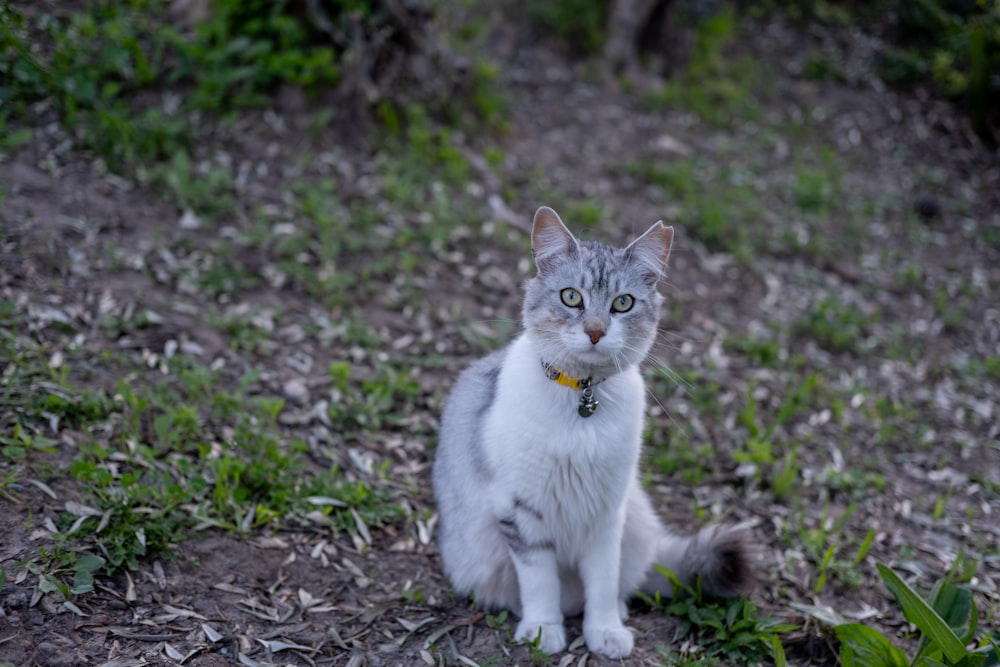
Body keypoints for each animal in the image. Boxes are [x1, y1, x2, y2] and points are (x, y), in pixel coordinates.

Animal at [430, 206, 752, 660]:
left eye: (622, 303)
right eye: (571, 297)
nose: (596, 332)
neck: (583, 399)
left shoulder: (606, 515)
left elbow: (601, 582)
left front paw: (605, 631)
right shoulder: (522, 513)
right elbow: (540, 584)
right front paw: (543, 632)